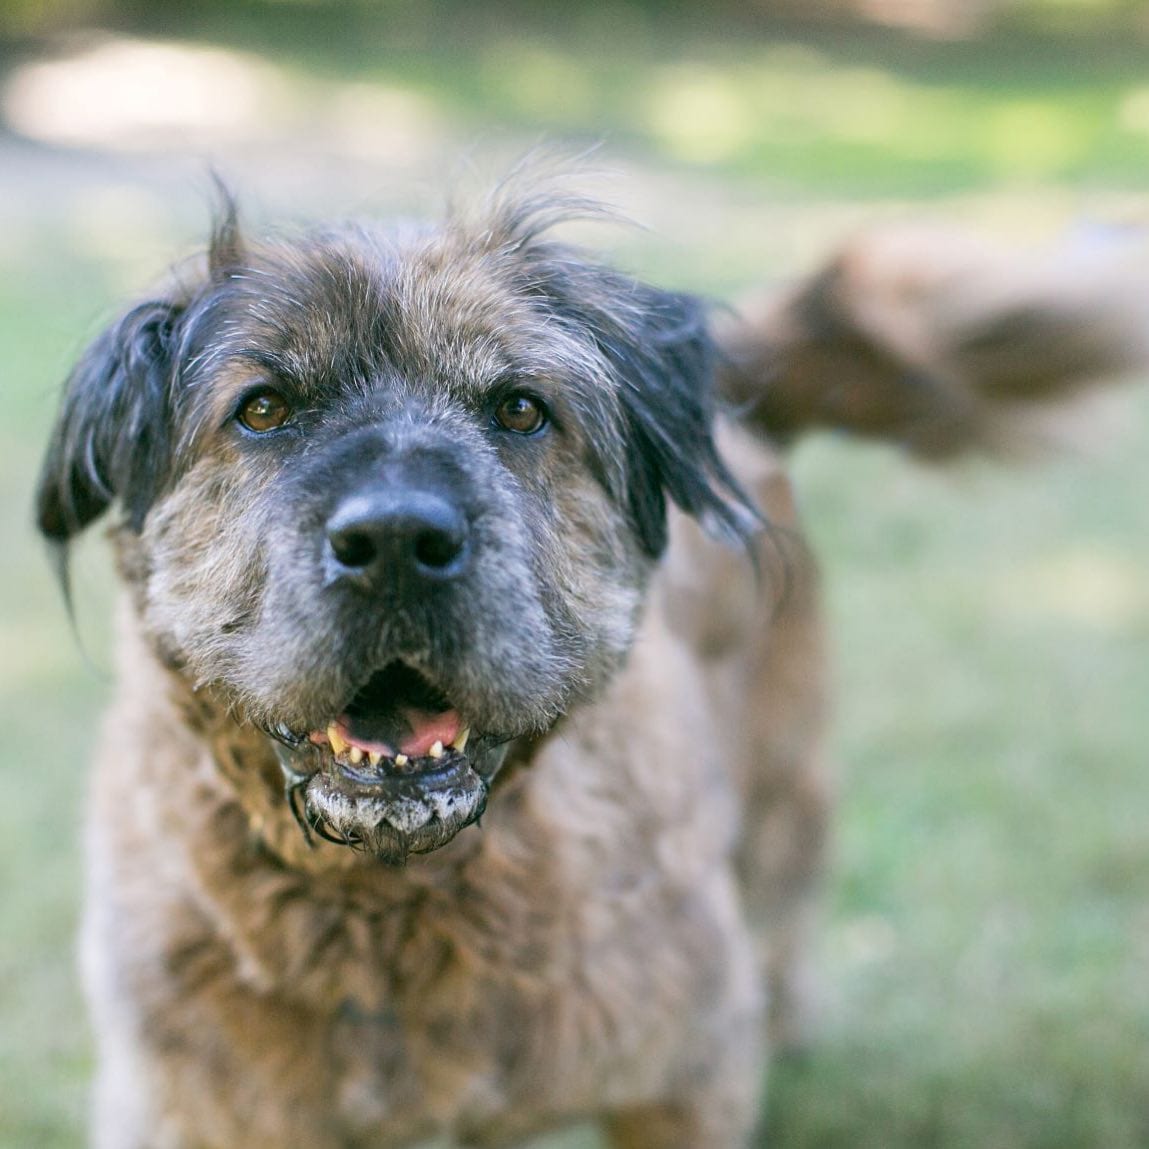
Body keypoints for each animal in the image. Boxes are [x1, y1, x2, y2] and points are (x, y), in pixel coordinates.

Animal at [35, 172, 1139, 1149]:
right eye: (261, 408)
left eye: (521, 409)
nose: (396, 541)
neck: (391, 910)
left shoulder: (690, 1078)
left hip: (782, 809)